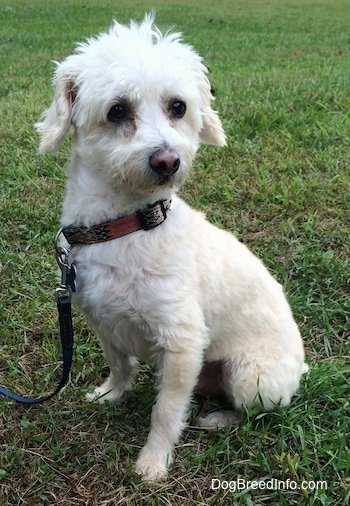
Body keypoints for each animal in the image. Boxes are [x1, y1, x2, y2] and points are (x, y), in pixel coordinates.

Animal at [37, 14, 308, 482]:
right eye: (117, 110)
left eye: (177, 106)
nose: (168, 161)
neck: (124, 227)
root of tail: (303, 365)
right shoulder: (101, 319)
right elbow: (120, 364)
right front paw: (111, 394)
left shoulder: (182, 341)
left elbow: (165, 410)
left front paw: (153, 461)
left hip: (253, 378)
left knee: (255, 412)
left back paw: (218, 419)